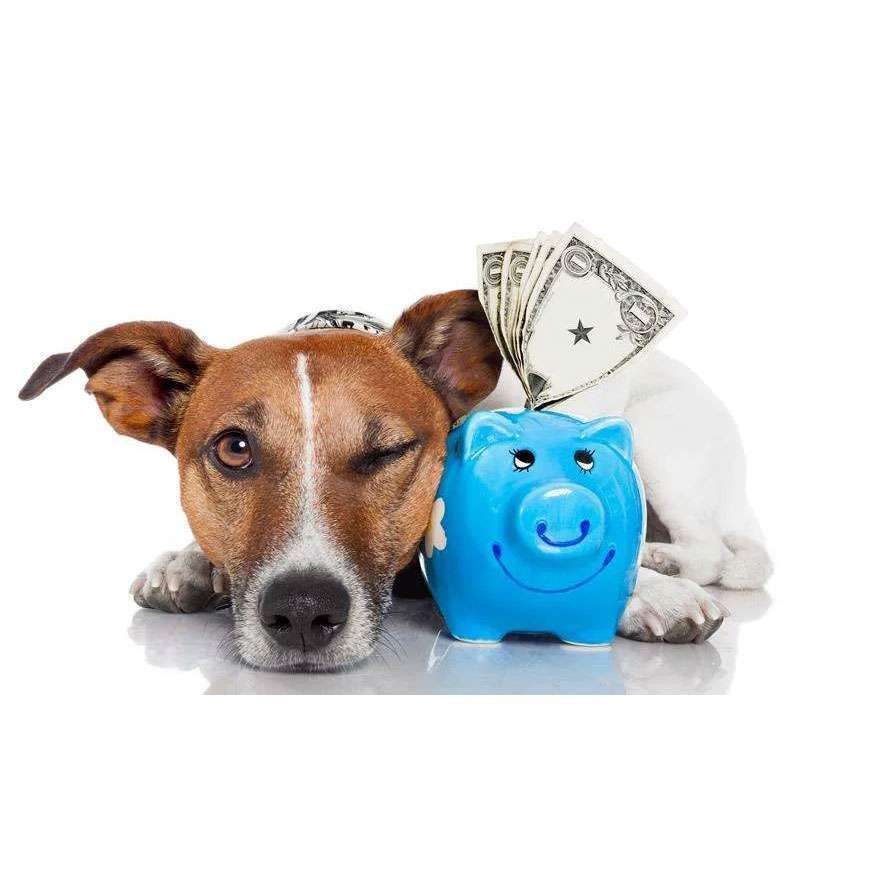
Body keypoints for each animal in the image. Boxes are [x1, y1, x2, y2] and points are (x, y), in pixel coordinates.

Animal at [19, 289, 772, 671]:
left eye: (389, 451)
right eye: (234, 450)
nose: (302, 614)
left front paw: (647, 593)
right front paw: (187, 563)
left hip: (665, 442)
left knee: (709, 547)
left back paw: (662, 559)